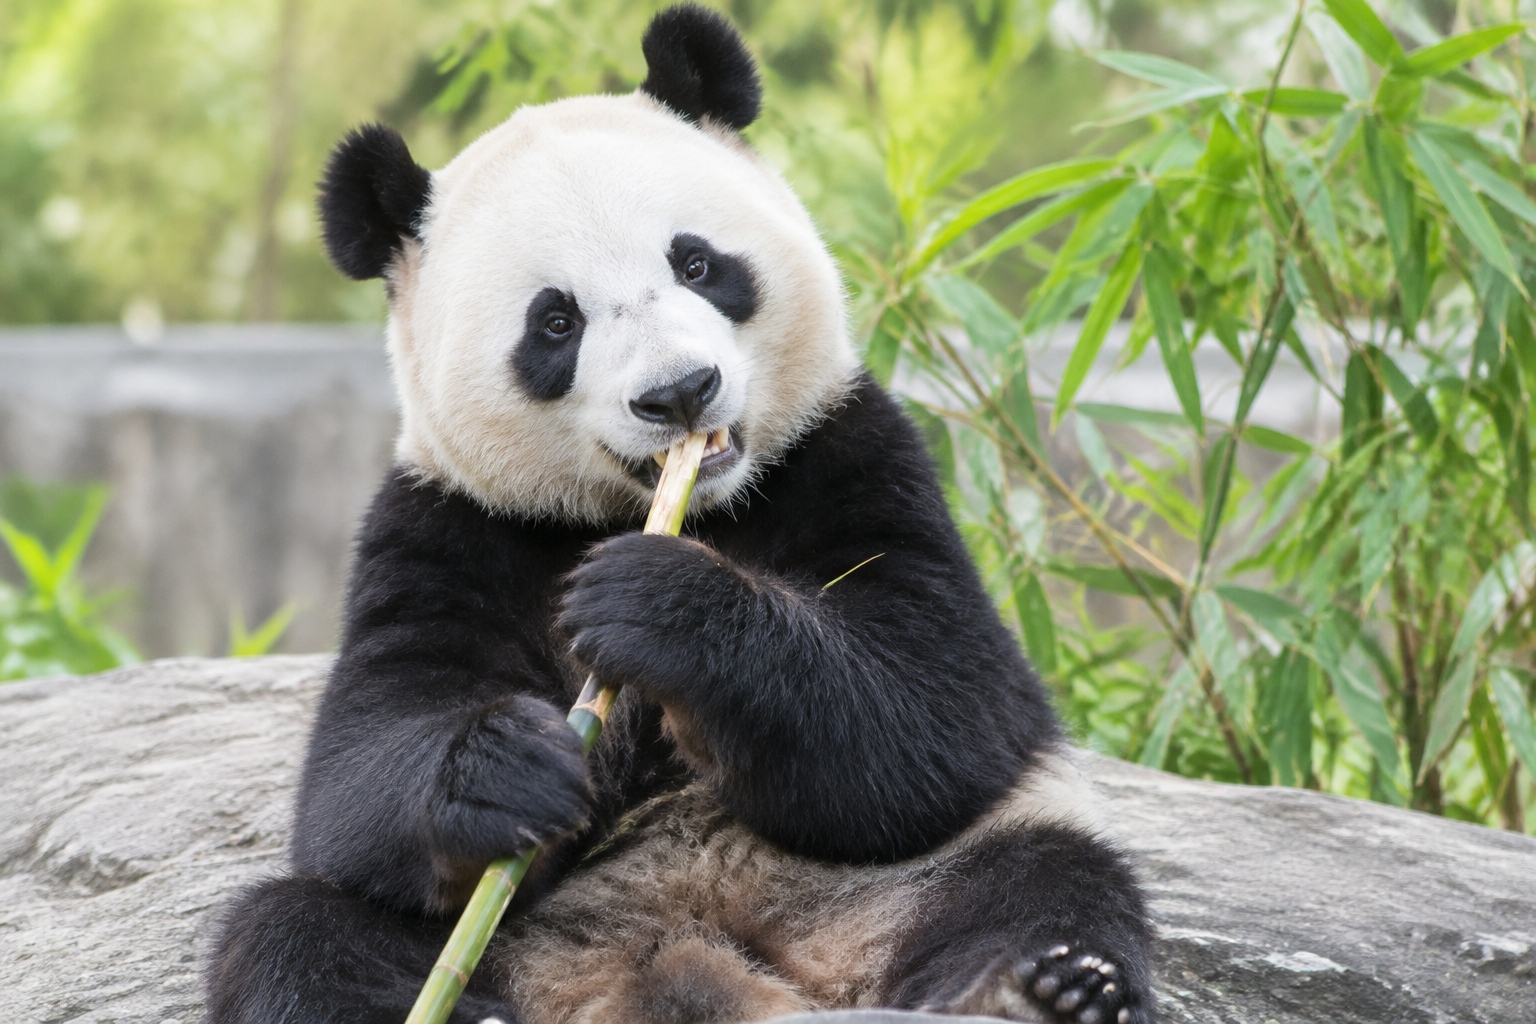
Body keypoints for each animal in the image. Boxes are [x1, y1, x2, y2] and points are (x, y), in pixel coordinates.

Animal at [205, 7, 1154, 1024]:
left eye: (697, 263)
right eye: (556, 323)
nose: (681, 392)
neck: (695, 509)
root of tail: (685, 966)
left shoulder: (850, 450)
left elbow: (943, 701)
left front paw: (651, 606)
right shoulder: (447, 525)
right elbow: (356, 774)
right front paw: (508, 766)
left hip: (913, 881)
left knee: (1046, 879)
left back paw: (1033, 990)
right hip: (506, 944)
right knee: (295, 935)